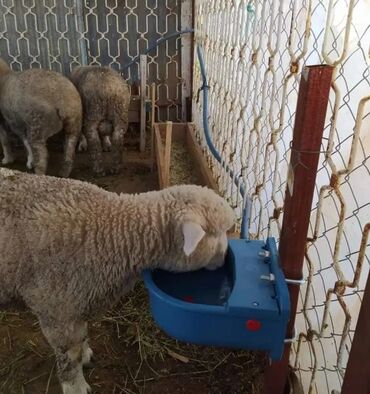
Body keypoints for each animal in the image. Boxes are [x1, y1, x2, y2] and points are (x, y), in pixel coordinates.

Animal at [0, 167, 236, 394]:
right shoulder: (57, 311)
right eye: (218, 232)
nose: (226, 259)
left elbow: (81, 336)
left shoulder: (77, 301)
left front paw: (86, 355)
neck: (114, 228)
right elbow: (70, 356)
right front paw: (75, 386)